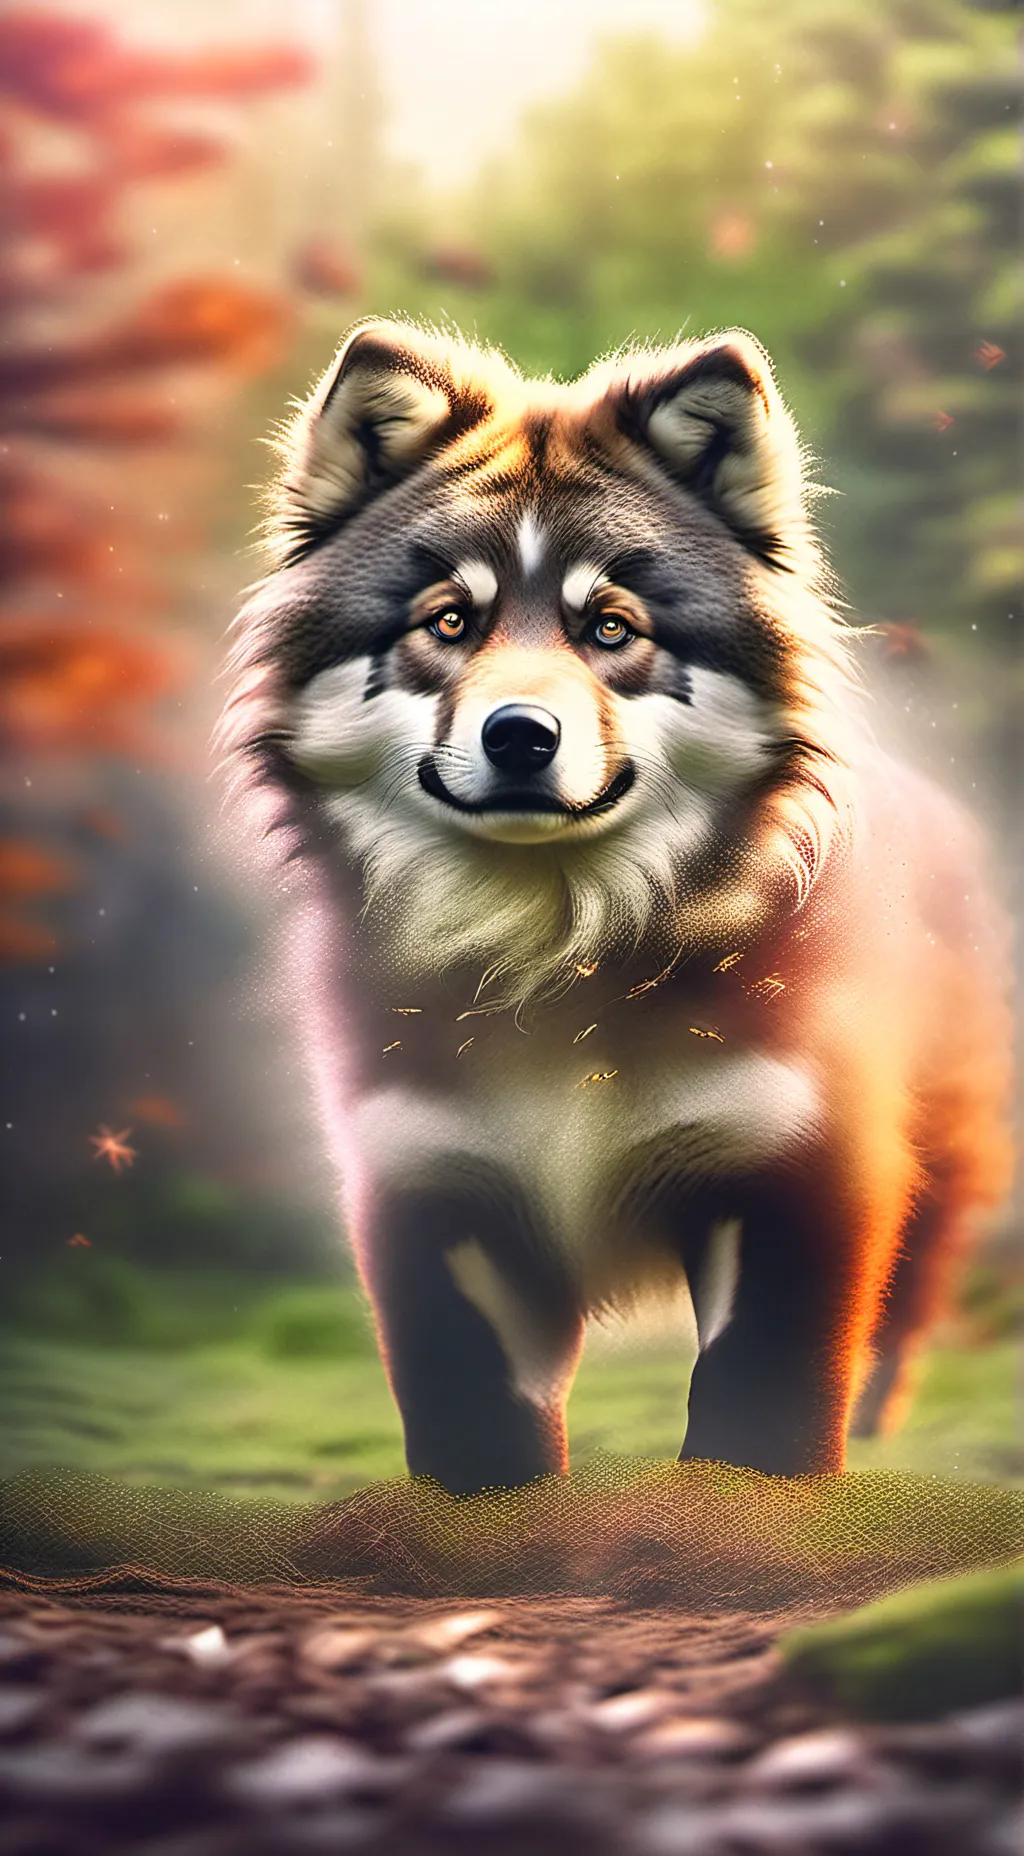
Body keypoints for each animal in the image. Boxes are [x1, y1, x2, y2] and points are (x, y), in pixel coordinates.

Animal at [223, 318, 1012, 1495]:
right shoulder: (428, 1191)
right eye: (447, 621)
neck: (555, 947)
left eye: (609, 627)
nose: (519, 734)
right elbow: (478, 1441)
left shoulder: (798, 1170)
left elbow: (755, 1420)